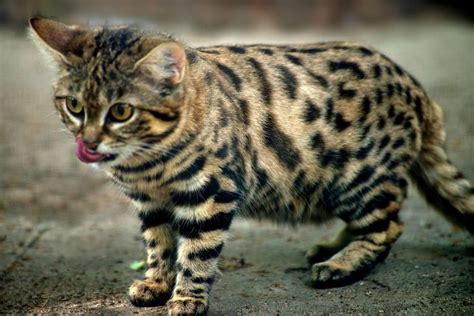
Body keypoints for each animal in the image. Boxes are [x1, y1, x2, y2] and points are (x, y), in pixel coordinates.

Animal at [30, 17, 474, 316]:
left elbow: (196, 252)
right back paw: (329, 247)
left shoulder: (210, 192)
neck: (147, 163)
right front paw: (157, 283)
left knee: (389, 226)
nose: (88, 142)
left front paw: (187, 296)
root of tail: (416, 88)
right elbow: (159, 244)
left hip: (361, 179)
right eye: (74, 106)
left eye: (121, 111)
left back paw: (337, 265)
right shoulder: (150, 202)